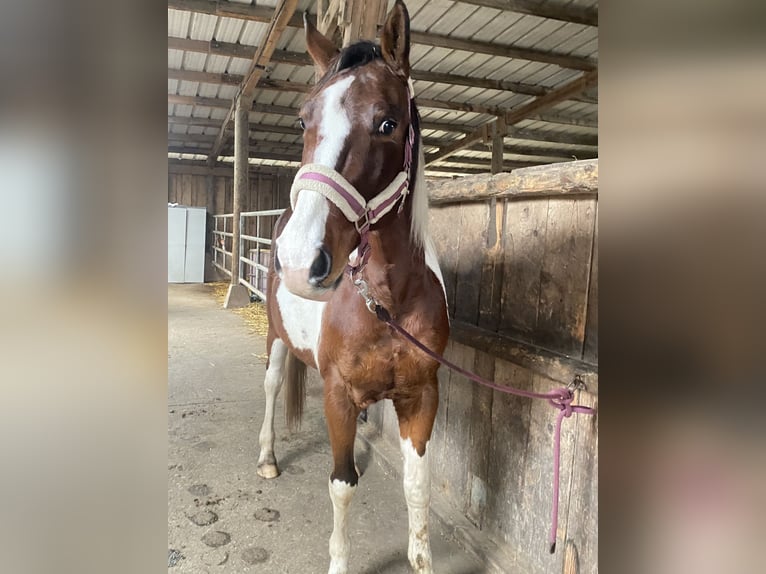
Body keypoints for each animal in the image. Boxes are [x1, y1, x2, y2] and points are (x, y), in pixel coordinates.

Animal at [256, 2, 449, 572]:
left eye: (387, 123)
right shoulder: (338, 394)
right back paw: (267, 457)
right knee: (272, 385)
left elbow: (416, 485)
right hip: (276, 339)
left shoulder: (421, 397)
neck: (387, 300)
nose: (300, 261)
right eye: (304, 119)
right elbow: (342, 485)